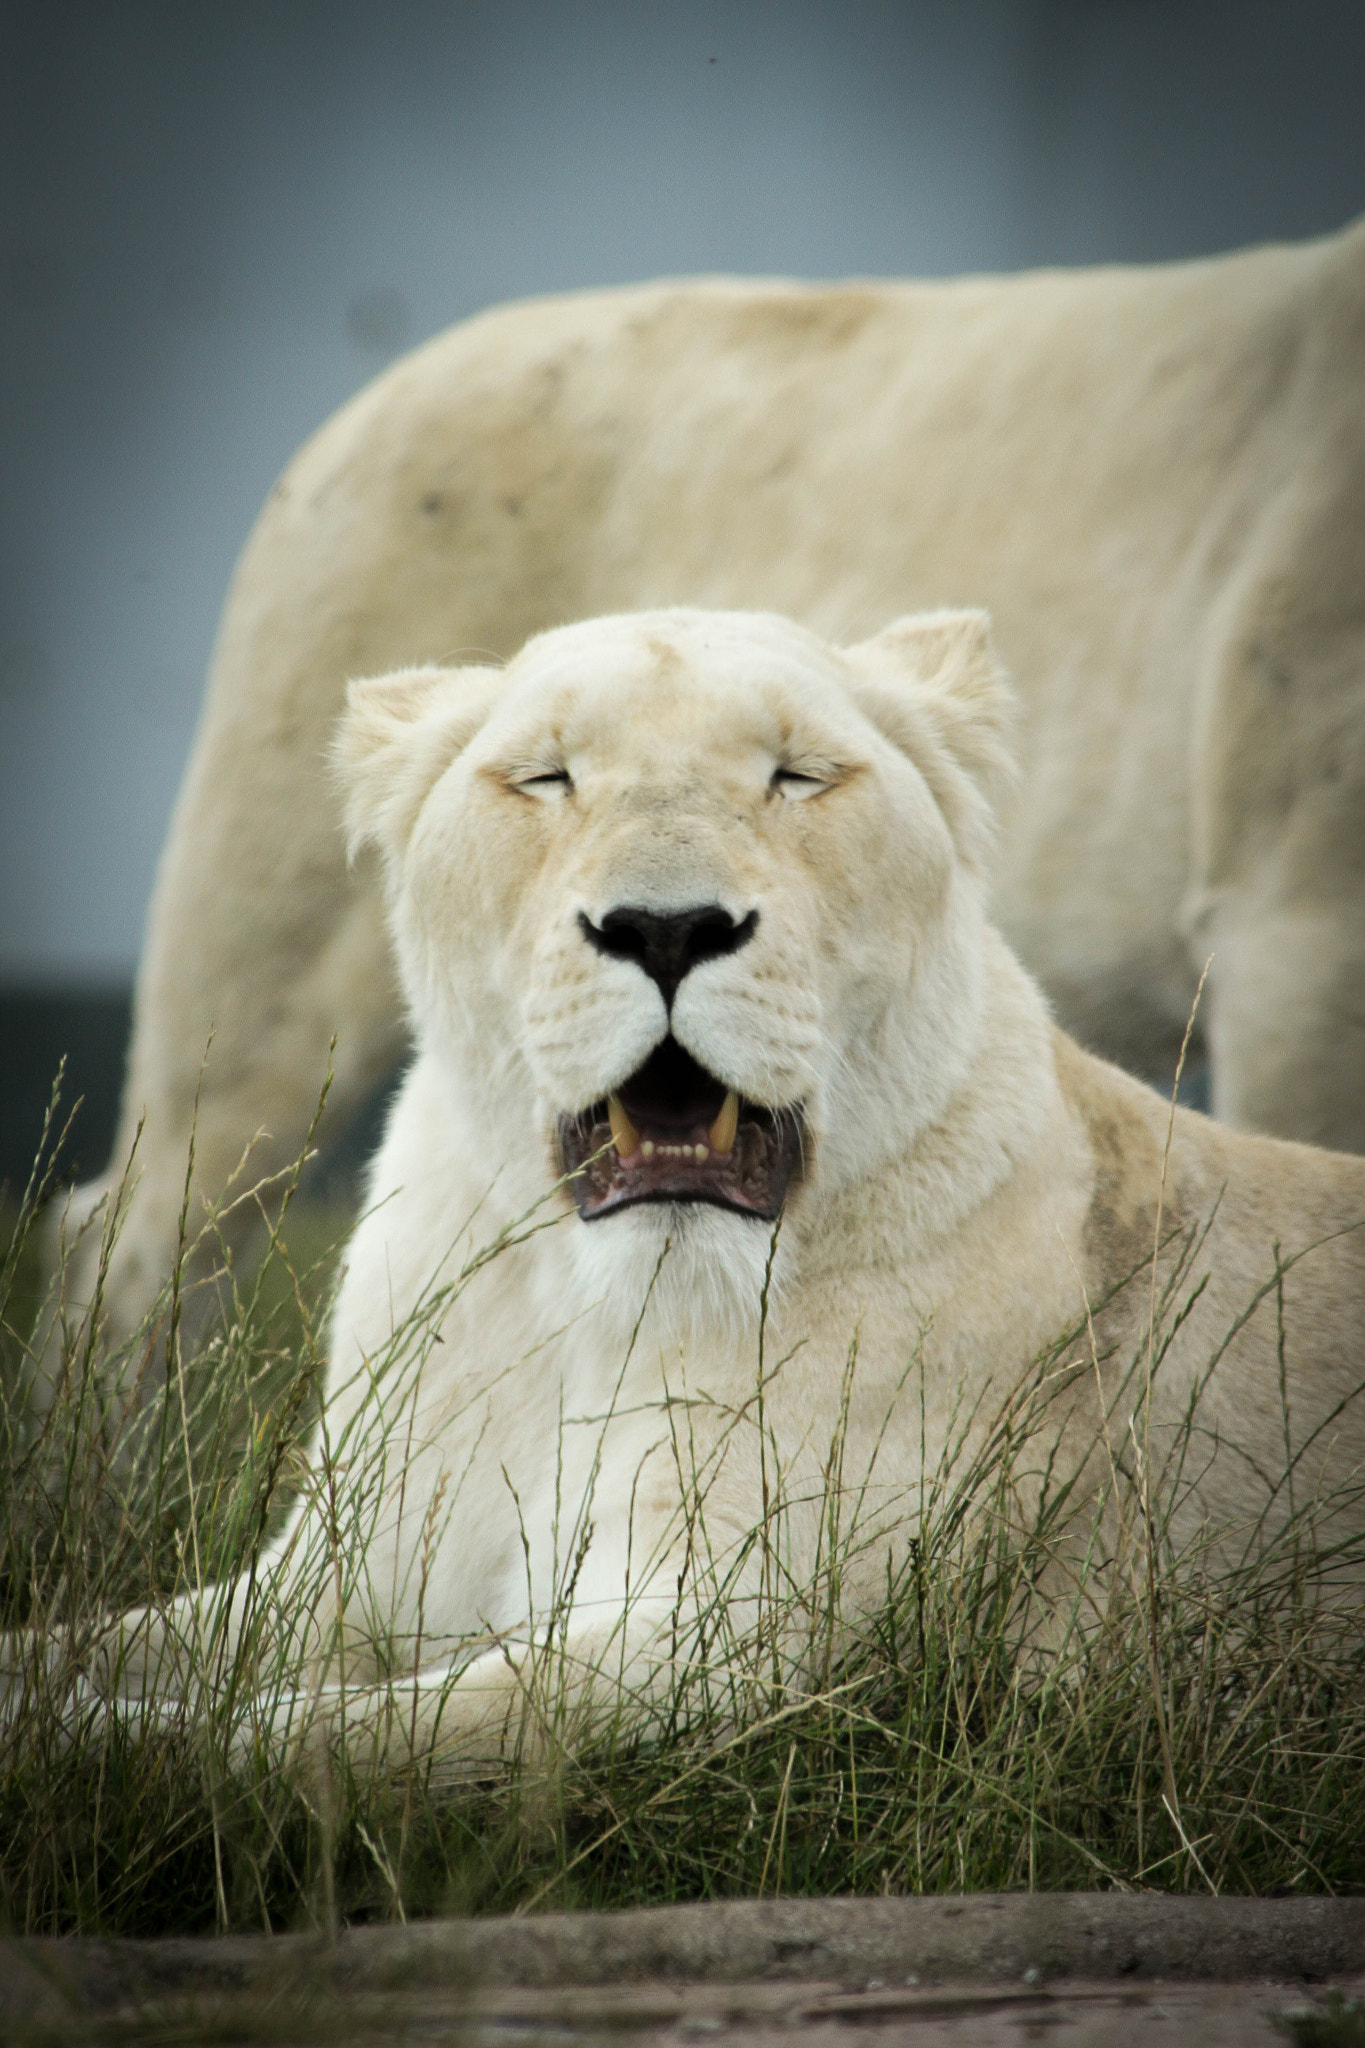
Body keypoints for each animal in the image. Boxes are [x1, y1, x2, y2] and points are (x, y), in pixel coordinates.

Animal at [21, 609, 1365, 1775]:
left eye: (799, 775)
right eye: (545, 776)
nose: (665, 930)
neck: (594, 1313)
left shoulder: (759, 1648)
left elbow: (322, 1732)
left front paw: (81, 1753)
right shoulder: (347, 1576)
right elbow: (101, 1643)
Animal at [47, 216, 1365, 1371]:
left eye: (798, 774)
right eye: (550, 774)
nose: (667, 931)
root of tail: (377, 392)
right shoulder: (1297, 932)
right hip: (265, 954)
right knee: (139, 1233)